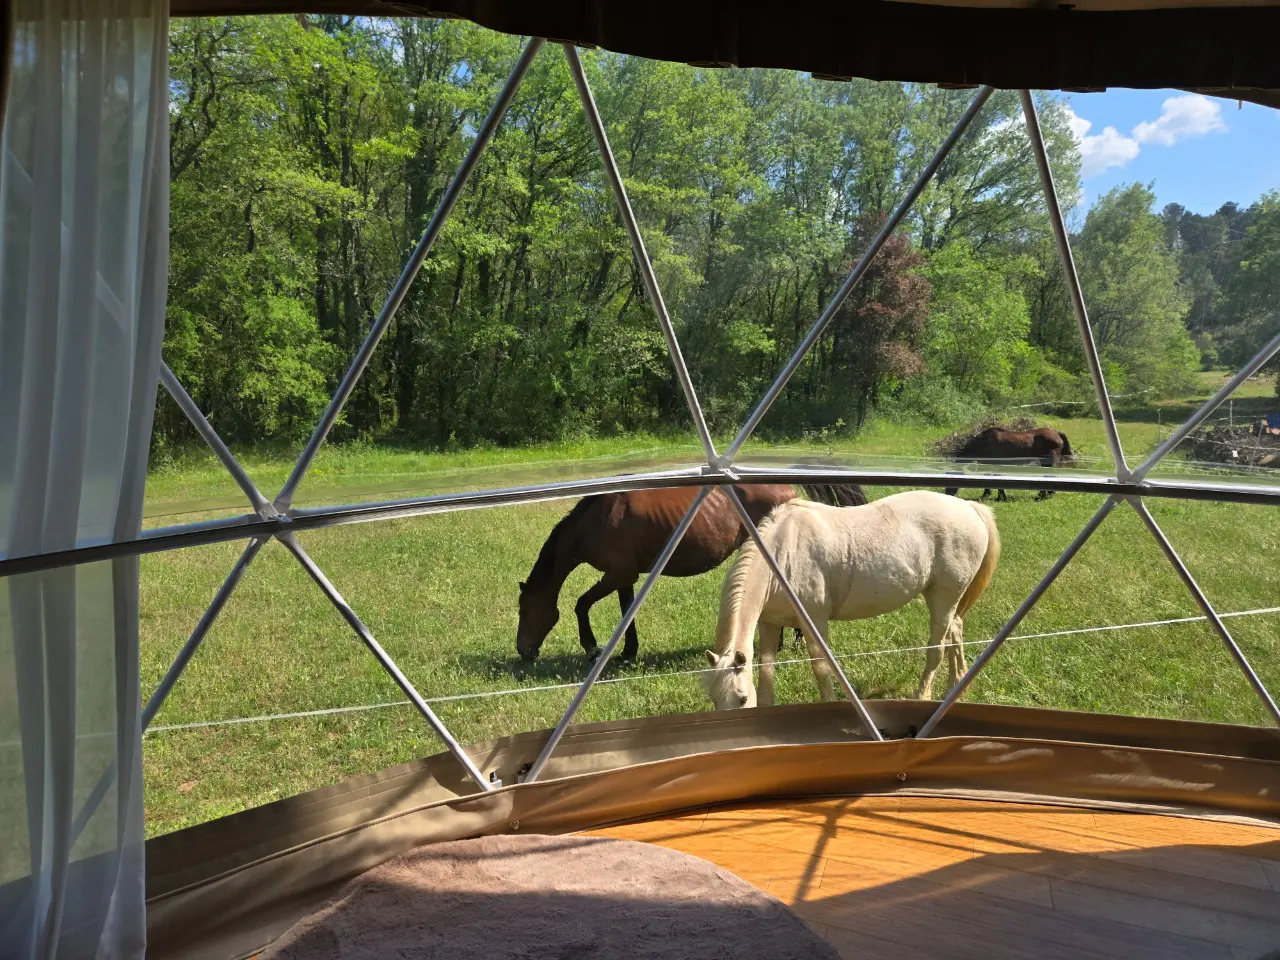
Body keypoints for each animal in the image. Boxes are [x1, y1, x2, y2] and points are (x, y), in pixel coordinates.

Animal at [516, 482, 867, 663]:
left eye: (525, 610)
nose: (523, 651)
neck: (599, 519)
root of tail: (787, 490)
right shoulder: (625, 578)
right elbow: (626, 612)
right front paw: (628, 653)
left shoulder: (616, 575)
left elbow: (581, 605)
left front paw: (593, 648)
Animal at [701, 490, 1000, 710]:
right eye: (714, 698)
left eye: (741, 698)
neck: (781, 554)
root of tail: (969, 507)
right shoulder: (770, 623)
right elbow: (766, 669)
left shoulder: (814, 621)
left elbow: (821, 667)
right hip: (948, 601)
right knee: (955, 633)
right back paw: (955, 689)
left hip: (943, 598)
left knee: (937, 648)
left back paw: (923, 697)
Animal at [943, 426, 1074, 502]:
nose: (948, 494)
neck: (983, 443)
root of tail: (1056, 433)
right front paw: (990, 495)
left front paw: (1000, 497)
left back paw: (1041, 496)